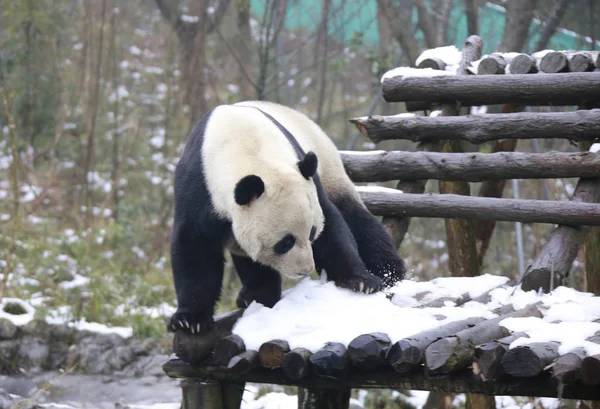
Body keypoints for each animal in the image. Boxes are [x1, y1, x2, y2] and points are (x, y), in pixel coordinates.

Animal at [166, 100, 406, 334]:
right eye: (285, 242)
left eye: (312, 233)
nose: (305, 269)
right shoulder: (199, 186)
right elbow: (194, 248)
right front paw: (189, 320)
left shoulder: (307, 178)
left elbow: (332, 225)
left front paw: (361, 281)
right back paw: (255, 294)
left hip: (328, 166)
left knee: (357, 219)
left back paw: (390, 272)